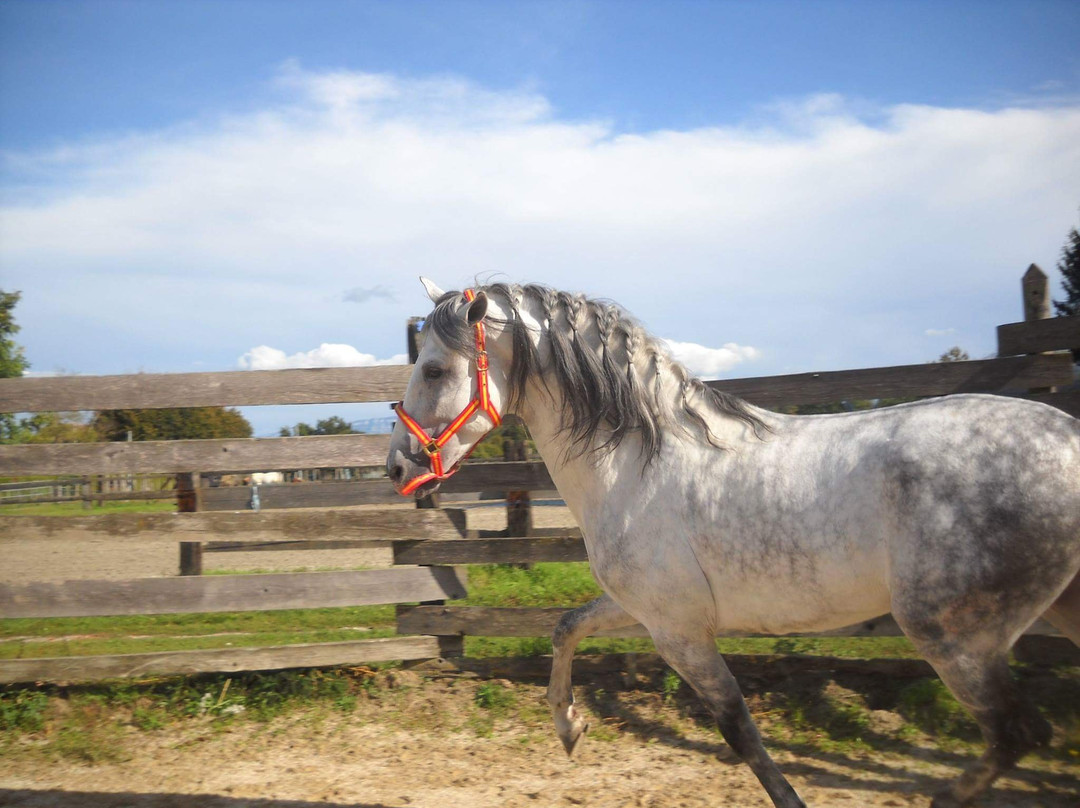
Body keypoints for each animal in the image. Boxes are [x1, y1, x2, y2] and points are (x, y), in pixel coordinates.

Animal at [388, 278, 1080, 808]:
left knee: (1018, 733)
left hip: (953, 637)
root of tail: (1068, 437)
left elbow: (738, 730)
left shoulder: (681, 634)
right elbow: (566, 628)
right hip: (1048, 611)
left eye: (435, 368)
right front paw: (569, 727)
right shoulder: (648, 611)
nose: (397, 468)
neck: (637, 463)